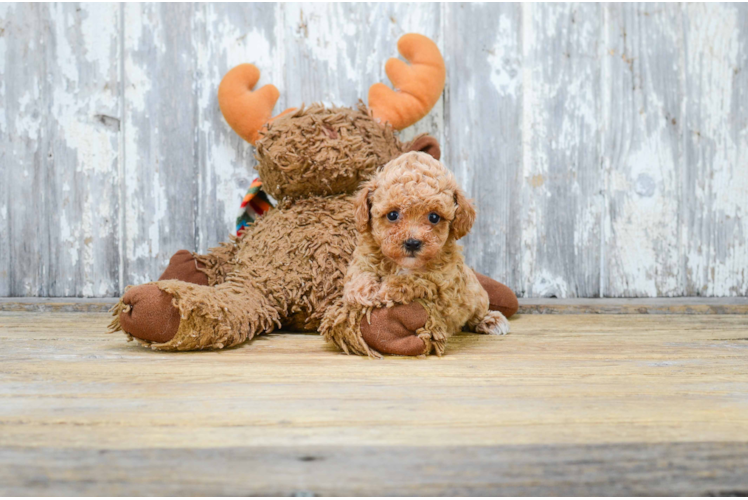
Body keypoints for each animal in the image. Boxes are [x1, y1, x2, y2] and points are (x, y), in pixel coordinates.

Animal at [322, 150, 508, 358]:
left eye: (434, 217)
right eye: (392, 215)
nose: (412, 243)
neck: (402, 264)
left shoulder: (442, 286)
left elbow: (416, 280)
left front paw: (387, 289)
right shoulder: (364, 258)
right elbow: (359, 275)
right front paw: (363, 292)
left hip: (476, 295)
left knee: (478, 311)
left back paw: (491, 320)